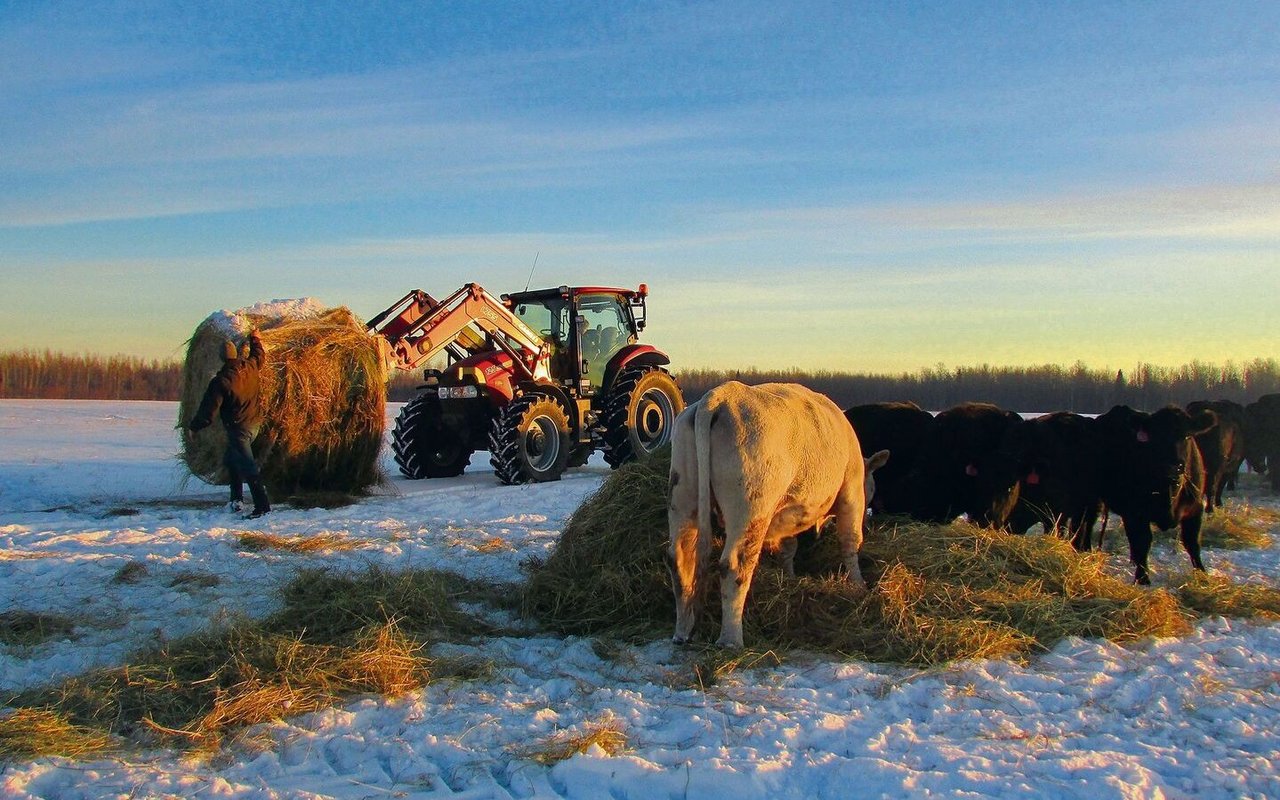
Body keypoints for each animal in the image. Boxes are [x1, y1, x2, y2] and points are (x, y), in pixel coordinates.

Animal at [670, 381, 870, 650]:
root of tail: (722, 395)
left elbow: (788, 546)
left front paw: (790, 576)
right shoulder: (852, 488)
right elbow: (850, 541)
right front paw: (858, 585)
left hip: (683, 493)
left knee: (680, 559)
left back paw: (682, 633)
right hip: (751, 506)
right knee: (734, 566)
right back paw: (731, 640)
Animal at [1095, 401, 1213, 583]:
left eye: (1187, 436)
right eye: (1155, 438)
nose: (1173, 466)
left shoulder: (1196, 508)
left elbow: (1192, 542)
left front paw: (1201, 574)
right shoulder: (1135, 512)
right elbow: (1142, 541)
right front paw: (1142, 578)